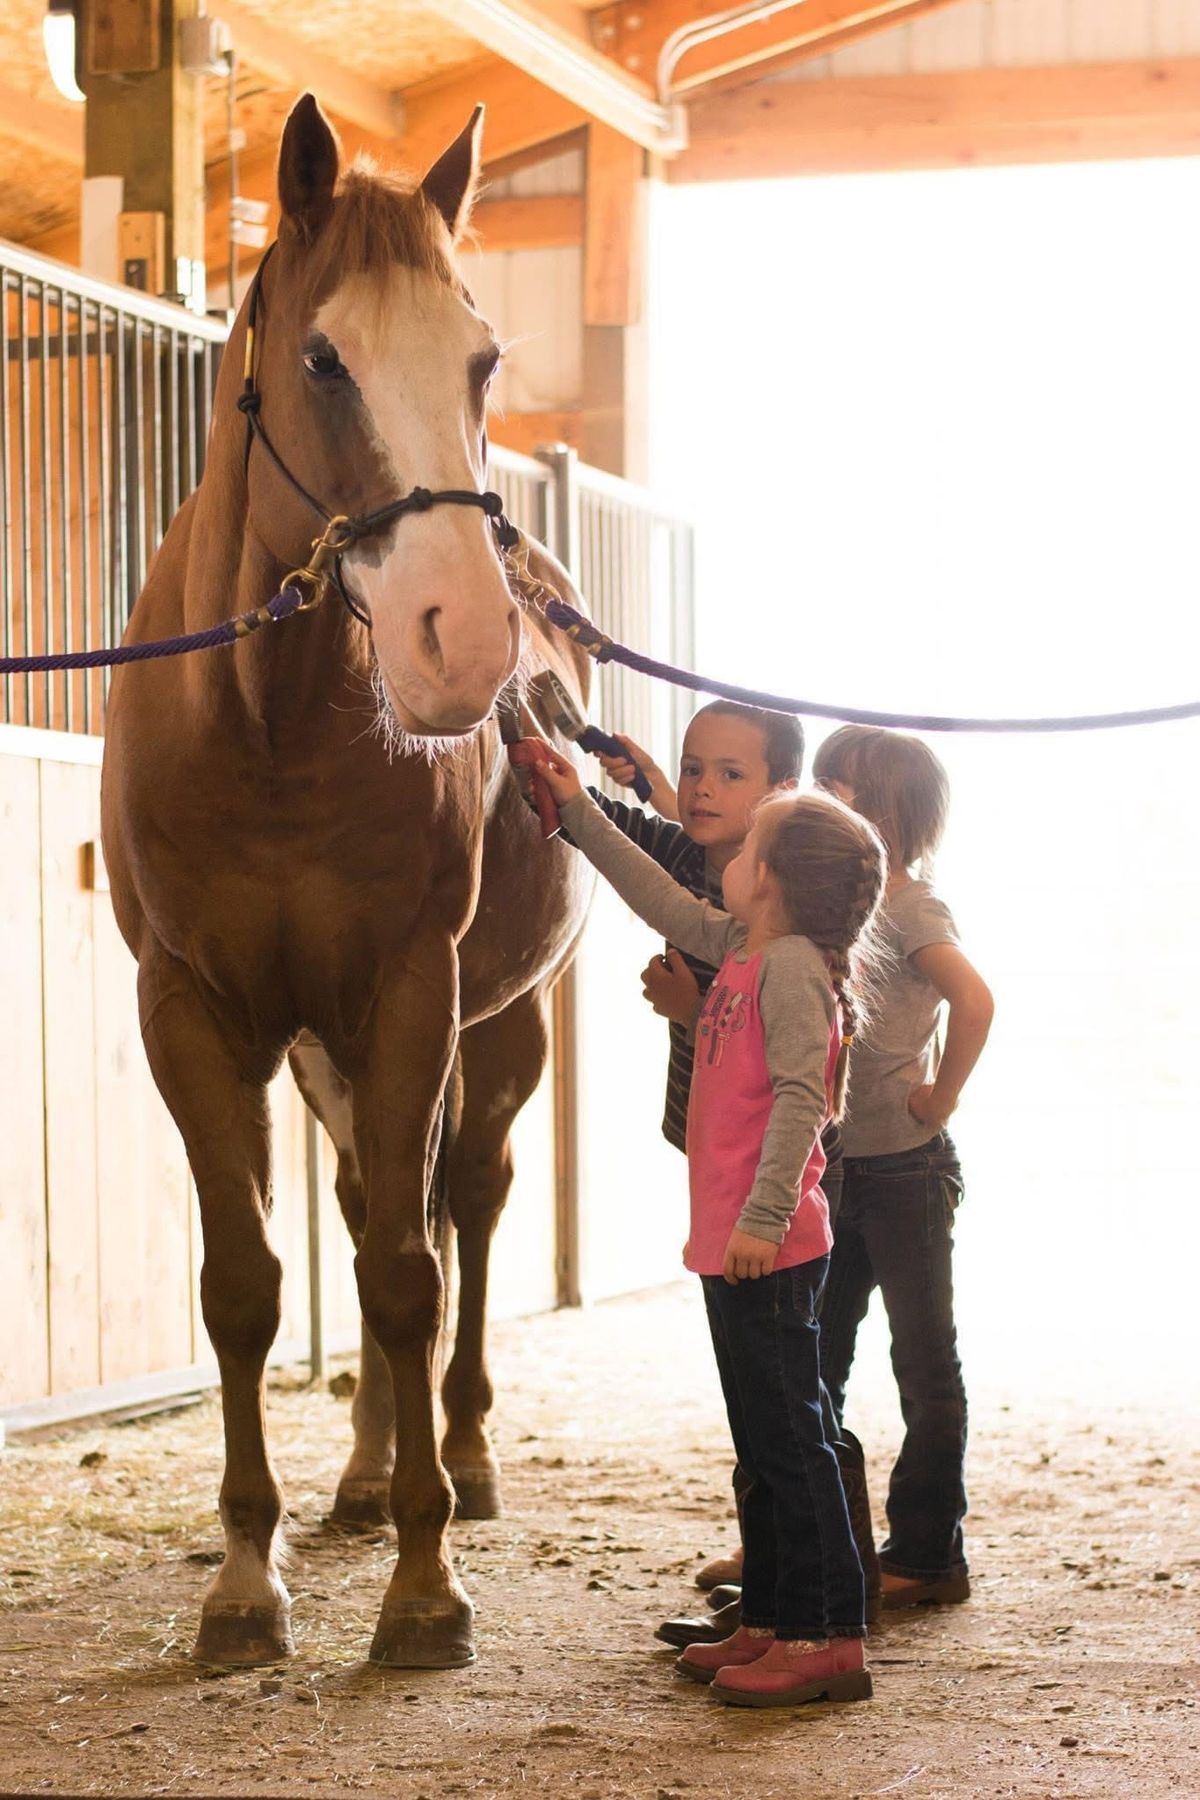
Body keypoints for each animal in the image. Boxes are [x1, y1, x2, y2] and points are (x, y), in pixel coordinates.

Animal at [100, 94, 593, 1670]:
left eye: (483, 358)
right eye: (324, 358)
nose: (464, 643)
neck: (270, 730)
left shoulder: (409, 997)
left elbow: (403, 1273)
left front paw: (427, 1589)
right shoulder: (195, 1019)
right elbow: (250, 1286)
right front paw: (246, 1582)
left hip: (495, 1029)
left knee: (462, 1210)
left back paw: (461, 1461)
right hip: (328, 1049)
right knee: (378, 1198)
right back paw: (372, 1474)